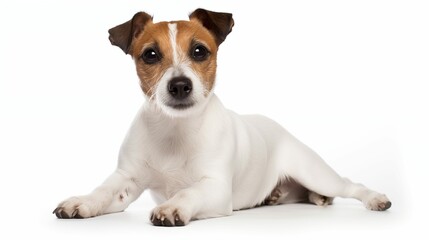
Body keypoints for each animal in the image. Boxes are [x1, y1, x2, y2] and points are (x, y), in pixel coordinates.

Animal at [53, 7, 392, 225]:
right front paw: (82, 201)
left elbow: (190, 191)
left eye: (199, 51)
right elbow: (103, 191)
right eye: (150, 55)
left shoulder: (216, 188)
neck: (175, 131)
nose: (179, 85)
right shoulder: (127, 179)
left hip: (315, 172)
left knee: (349, 185)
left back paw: (374, 198)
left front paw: (173, 207)